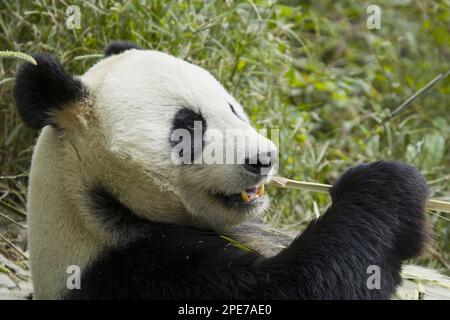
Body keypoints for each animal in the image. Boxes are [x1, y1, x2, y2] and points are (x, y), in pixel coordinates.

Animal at [13, 41, 428, 298]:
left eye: (231, 107)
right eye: (188, 126)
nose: (264, 158)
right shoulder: (131, 271)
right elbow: (299, 285)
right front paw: (386, 184)